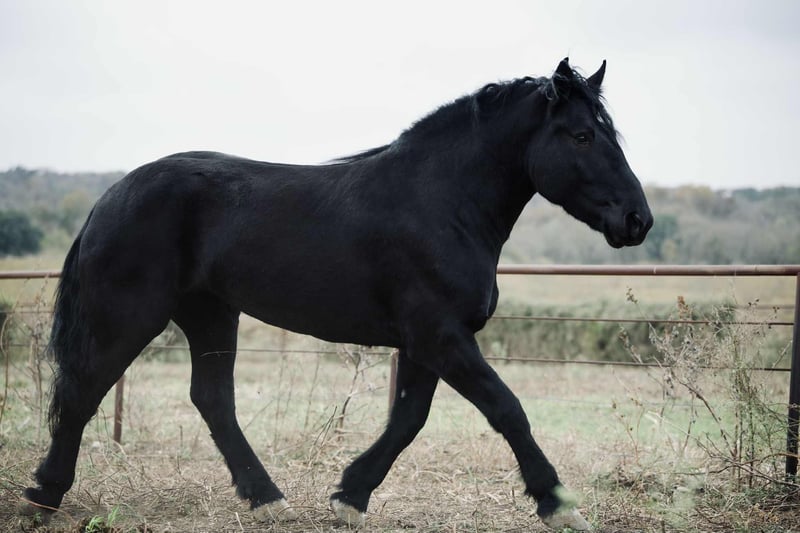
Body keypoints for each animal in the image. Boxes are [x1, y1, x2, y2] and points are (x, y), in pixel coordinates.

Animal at [21, 58, 652, 531]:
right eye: (583, 135)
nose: (637, 219)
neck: (442, 203)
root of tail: (112, 195)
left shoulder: (426, 342)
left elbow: (409, 419)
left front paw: (350, 495)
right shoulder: (440, 336)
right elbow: (506, 409)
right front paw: (557, 504)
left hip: (210, 313)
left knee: (211, 399)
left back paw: (267, 497)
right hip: (130, 314)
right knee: (83, 391)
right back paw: (44, 495)